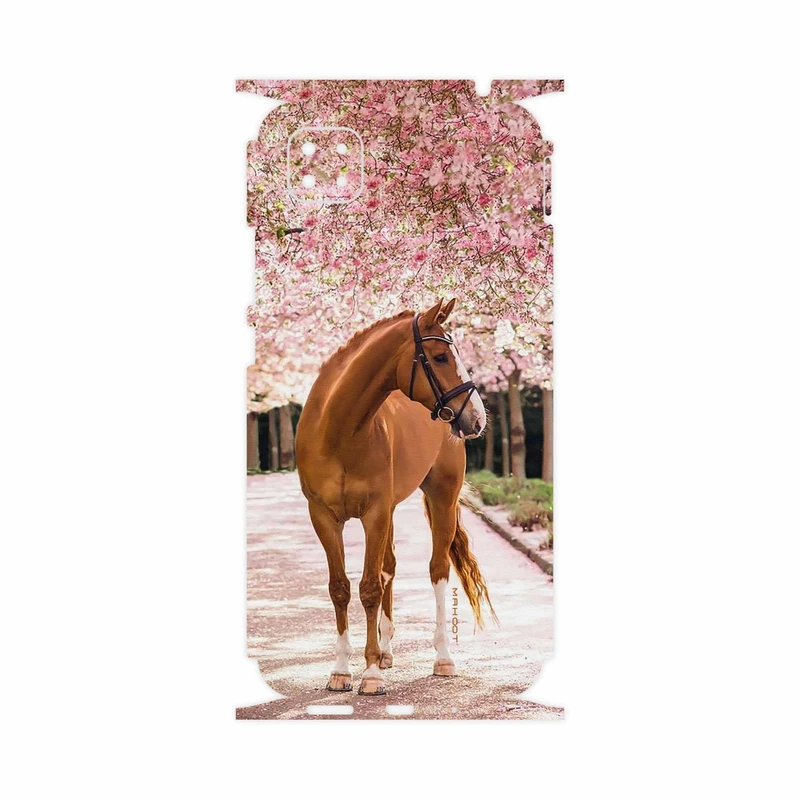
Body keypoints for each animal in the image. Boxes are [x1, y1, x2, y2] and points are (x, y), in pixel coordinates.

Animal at [295, 298, 496, 695]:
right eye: (439, 357)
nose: (477, 418)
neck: (338, 431)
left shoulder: (374, 513)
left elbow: (370, 588)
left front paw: (370, 674)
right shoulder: (324, 517)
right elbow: (340, 588)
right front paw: (341, 671)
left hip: (441, 498)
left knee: (437, 570)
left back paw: (442, 658)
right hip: (389, 511)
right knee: (389, 567)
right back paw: (386, 651)